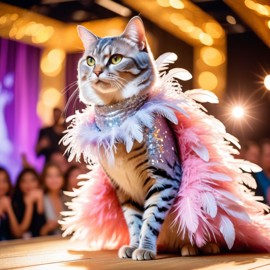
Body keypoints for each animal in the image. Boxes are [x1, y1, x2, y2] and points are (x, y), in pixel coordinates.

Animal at [73, 16, 219, 260]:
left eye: (116, 58)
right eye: (90, 61)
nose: (97, 71)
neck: (117, 122)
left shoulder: (164, 178)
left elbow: (151, 219)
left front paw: (145, 248)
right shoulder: (124, 189)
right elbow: (134, 221)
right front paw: (134, 245)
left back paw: (197, 247)